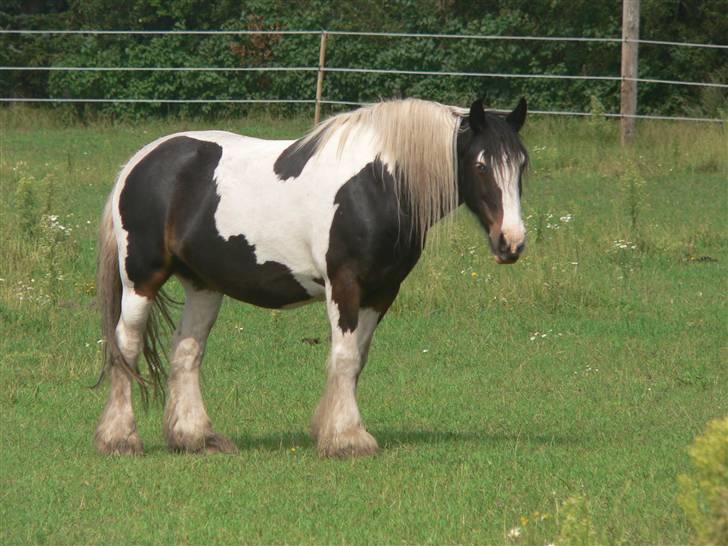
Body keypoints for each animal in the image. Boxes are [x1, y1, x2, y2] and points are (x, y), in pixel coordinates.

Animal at [96, 96, 528, 454]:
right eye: (480, 165)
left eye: (522, 164)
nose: (512, 241)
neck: (378, 185)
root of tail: (138, 162)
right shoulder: (345, 285)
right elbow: (344, 356)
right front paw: (347, 439)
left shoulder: (382, 291)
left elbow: (357, 359)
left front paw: (334, 429)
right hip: (140, 281)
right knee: (126, 346)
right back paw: (119, 438)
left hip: (203, 285)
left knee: (186, 351)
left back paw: (194, 437)